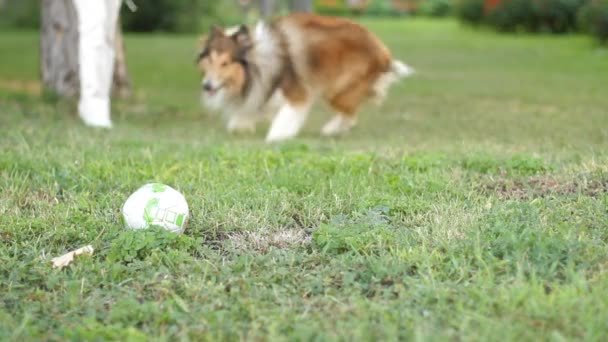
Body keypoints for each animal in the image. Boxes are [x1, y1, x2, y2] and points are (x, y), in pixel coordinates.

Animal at [195, 13, 414, 142]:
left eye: (225, 63)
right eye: (210, 59)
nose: (207, 86)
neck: (259, 59)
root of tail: (384, 54)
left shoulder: (296, 93)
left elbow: (285, 116)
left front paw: (277, 136)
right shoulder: (261, 90)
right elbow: (250, 109)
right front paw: (241, 124)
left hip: (337, 89)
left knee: (350, 113)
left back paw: (330, 129)